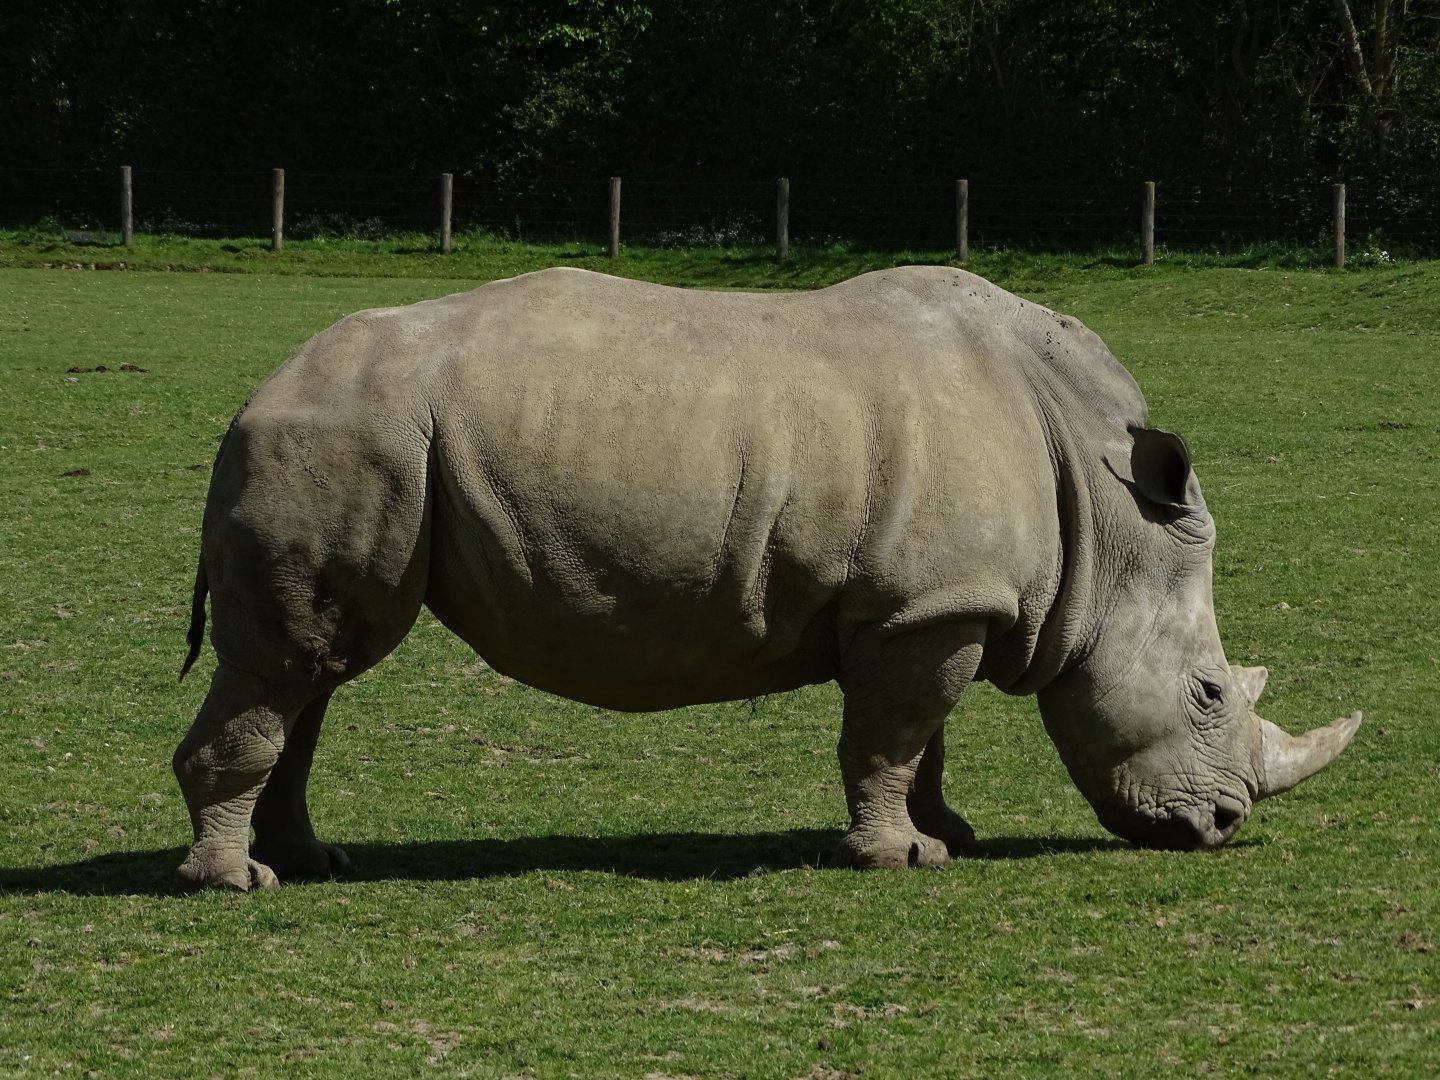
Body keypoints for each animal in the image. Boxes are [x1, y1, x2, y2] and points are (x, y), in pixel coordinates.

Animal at [173, 266, 1361, 890]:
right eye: (1207, 693)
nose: (1221, 828)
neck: (1109, 514)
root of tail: (251, 396)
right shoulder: (928, 607)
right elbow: (891, 736)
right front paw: (902, 860)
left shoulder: (928, 604)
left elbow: (922, 735)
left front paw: (949, 834)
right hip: (345, 440)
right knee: (295, 665)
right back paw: (237, 885)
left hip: (362, 446)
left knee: (314, 668)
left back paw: (309, 861)